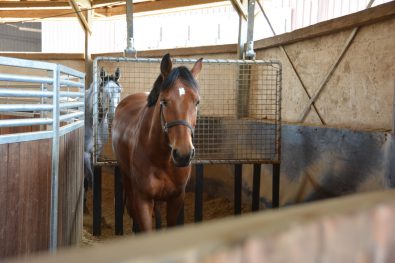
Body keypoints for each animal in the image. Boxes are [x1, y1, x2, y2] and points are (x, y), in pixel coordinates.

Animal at [112, 54, 203, 232]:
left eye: (197, 102)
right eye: (164, 101)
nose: (183, 154)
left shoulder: (176, 198)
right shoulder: (143, 199)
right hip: (127, 177)